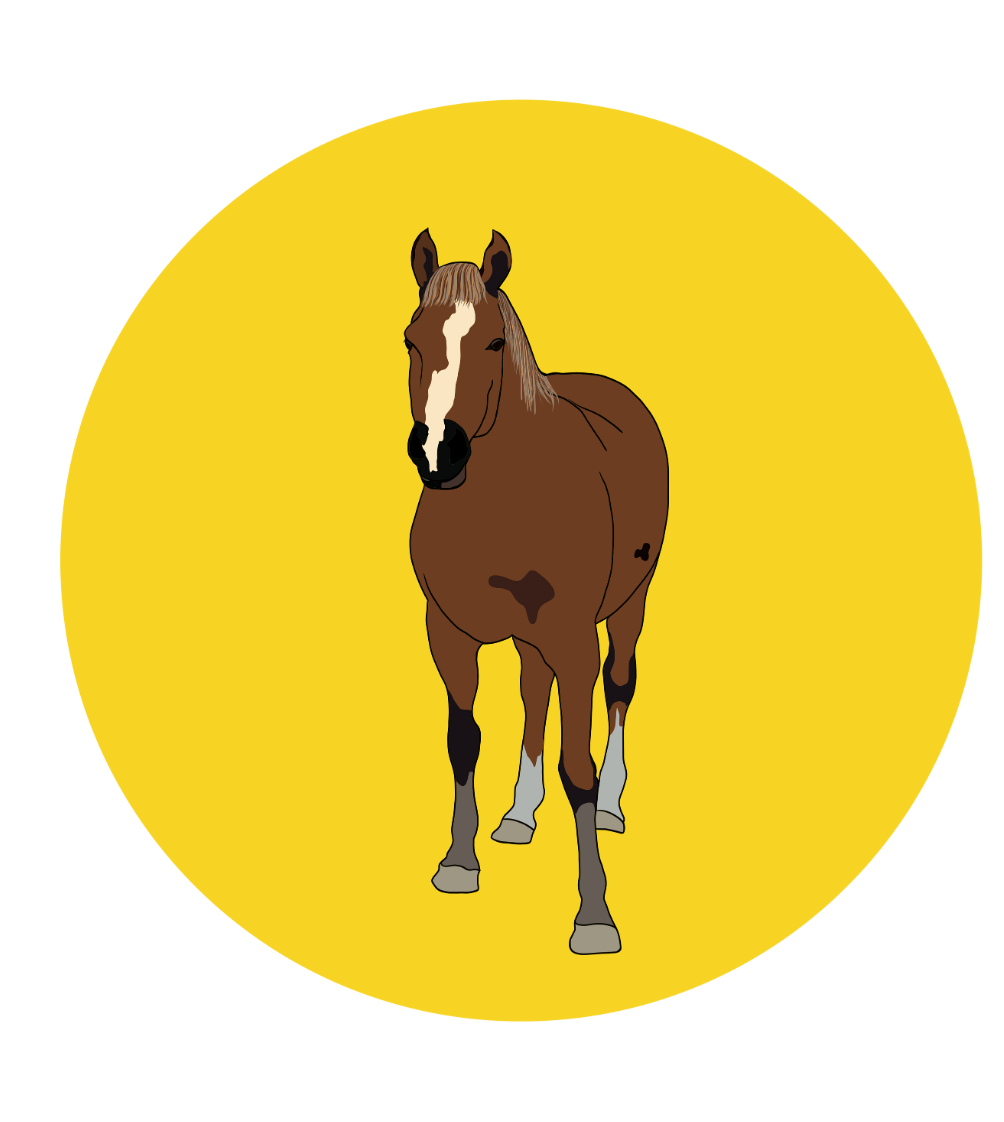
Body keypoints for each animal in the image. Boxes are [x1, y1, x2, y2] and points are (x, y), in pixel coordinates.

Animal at [405, 229, 668, 954]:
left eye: (494, 342)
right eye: (411, 339)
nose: (437, 454)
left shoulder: (574, 639)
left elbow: (578, 766)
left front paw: (595, 917)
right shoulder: (448, 631)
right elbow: (463, 740)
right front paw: (458, 863)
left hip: (629, 605)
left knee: (619, 687)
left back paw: (610, 806)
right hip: (529, 634)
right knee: (531, 690)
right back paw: (520, 814)